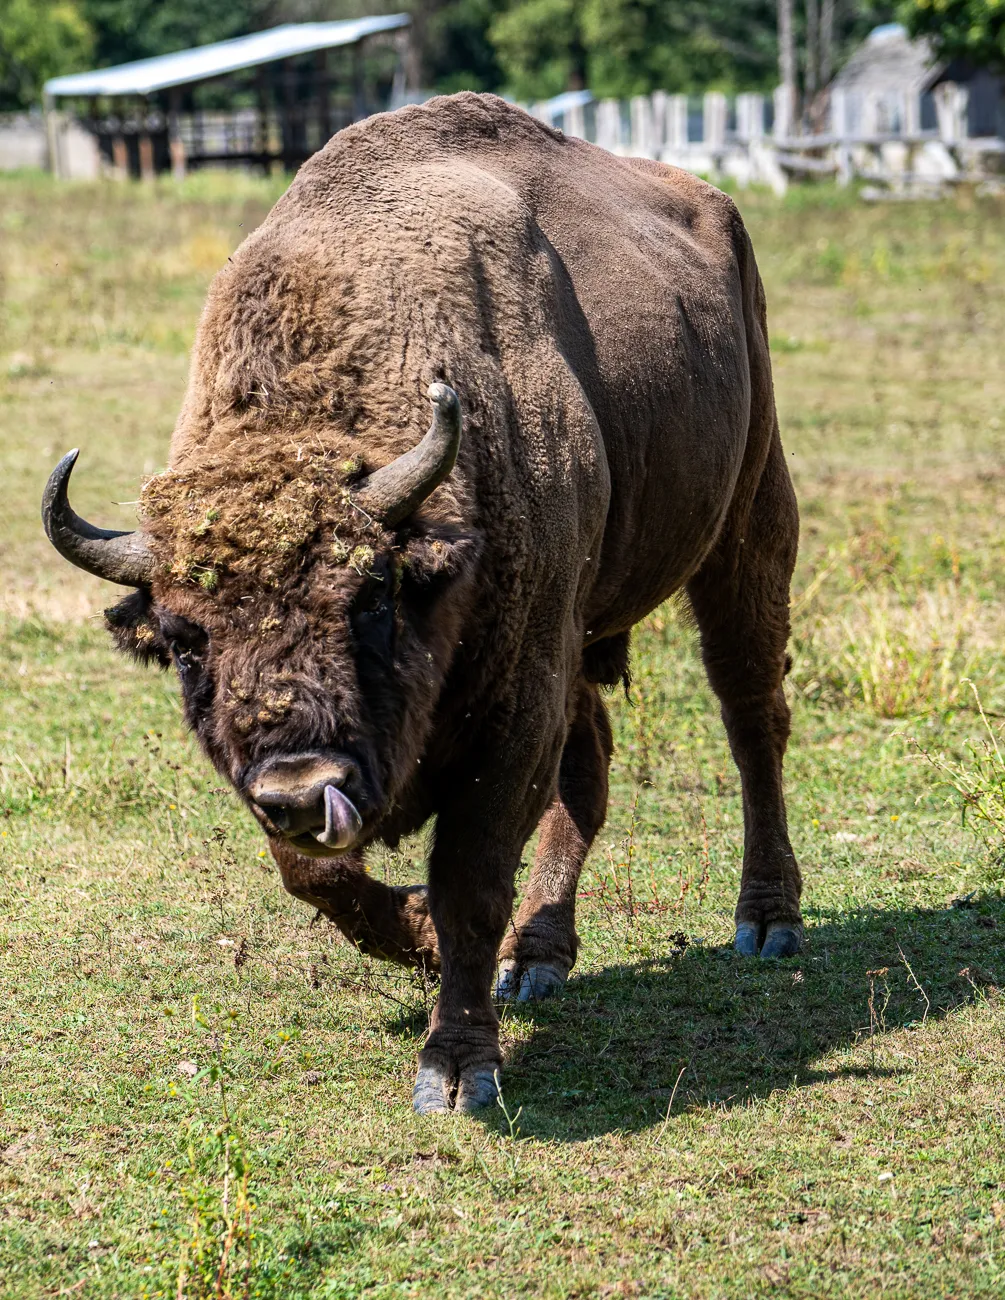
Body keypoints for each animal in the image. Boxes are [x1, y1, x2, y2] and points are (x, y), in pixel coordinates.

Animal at [42, 93, 801, 1114]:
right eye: (184, 638)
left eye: (371, 596)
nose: (299, 785)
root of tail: (712, 203)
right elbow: (313, 874)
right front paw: (428, 945)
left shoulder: (514, 703)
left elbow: (469, 877)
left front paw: (455, 1067)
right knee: (594, 762)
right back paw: (538, 956)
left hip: (745, 527)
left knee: (750, 715)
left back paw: (765, 922)